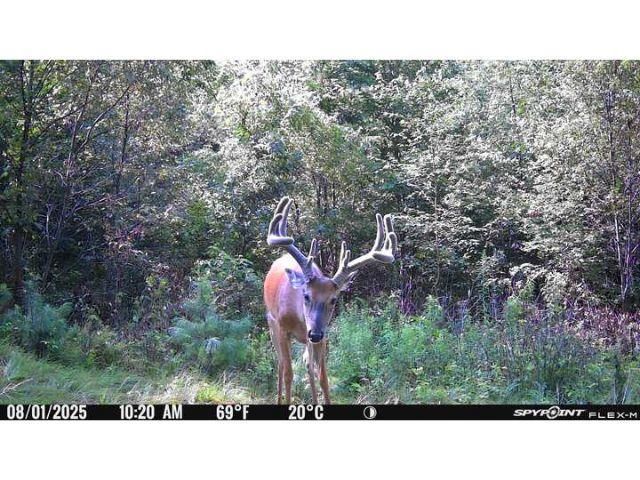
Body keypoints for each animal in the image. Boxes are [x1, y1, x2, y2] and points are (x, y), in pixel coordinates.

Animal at [263, 196, 398, 404]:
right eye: (306, 295)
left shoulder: (323, 335)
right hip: (271, 323)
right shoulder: (282, 327)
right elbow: (288, 373)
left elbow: (323, 378)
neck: (300, 319)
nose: (315, 333)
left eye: (334, 300)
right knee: (281, 363)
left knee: (308, 365)